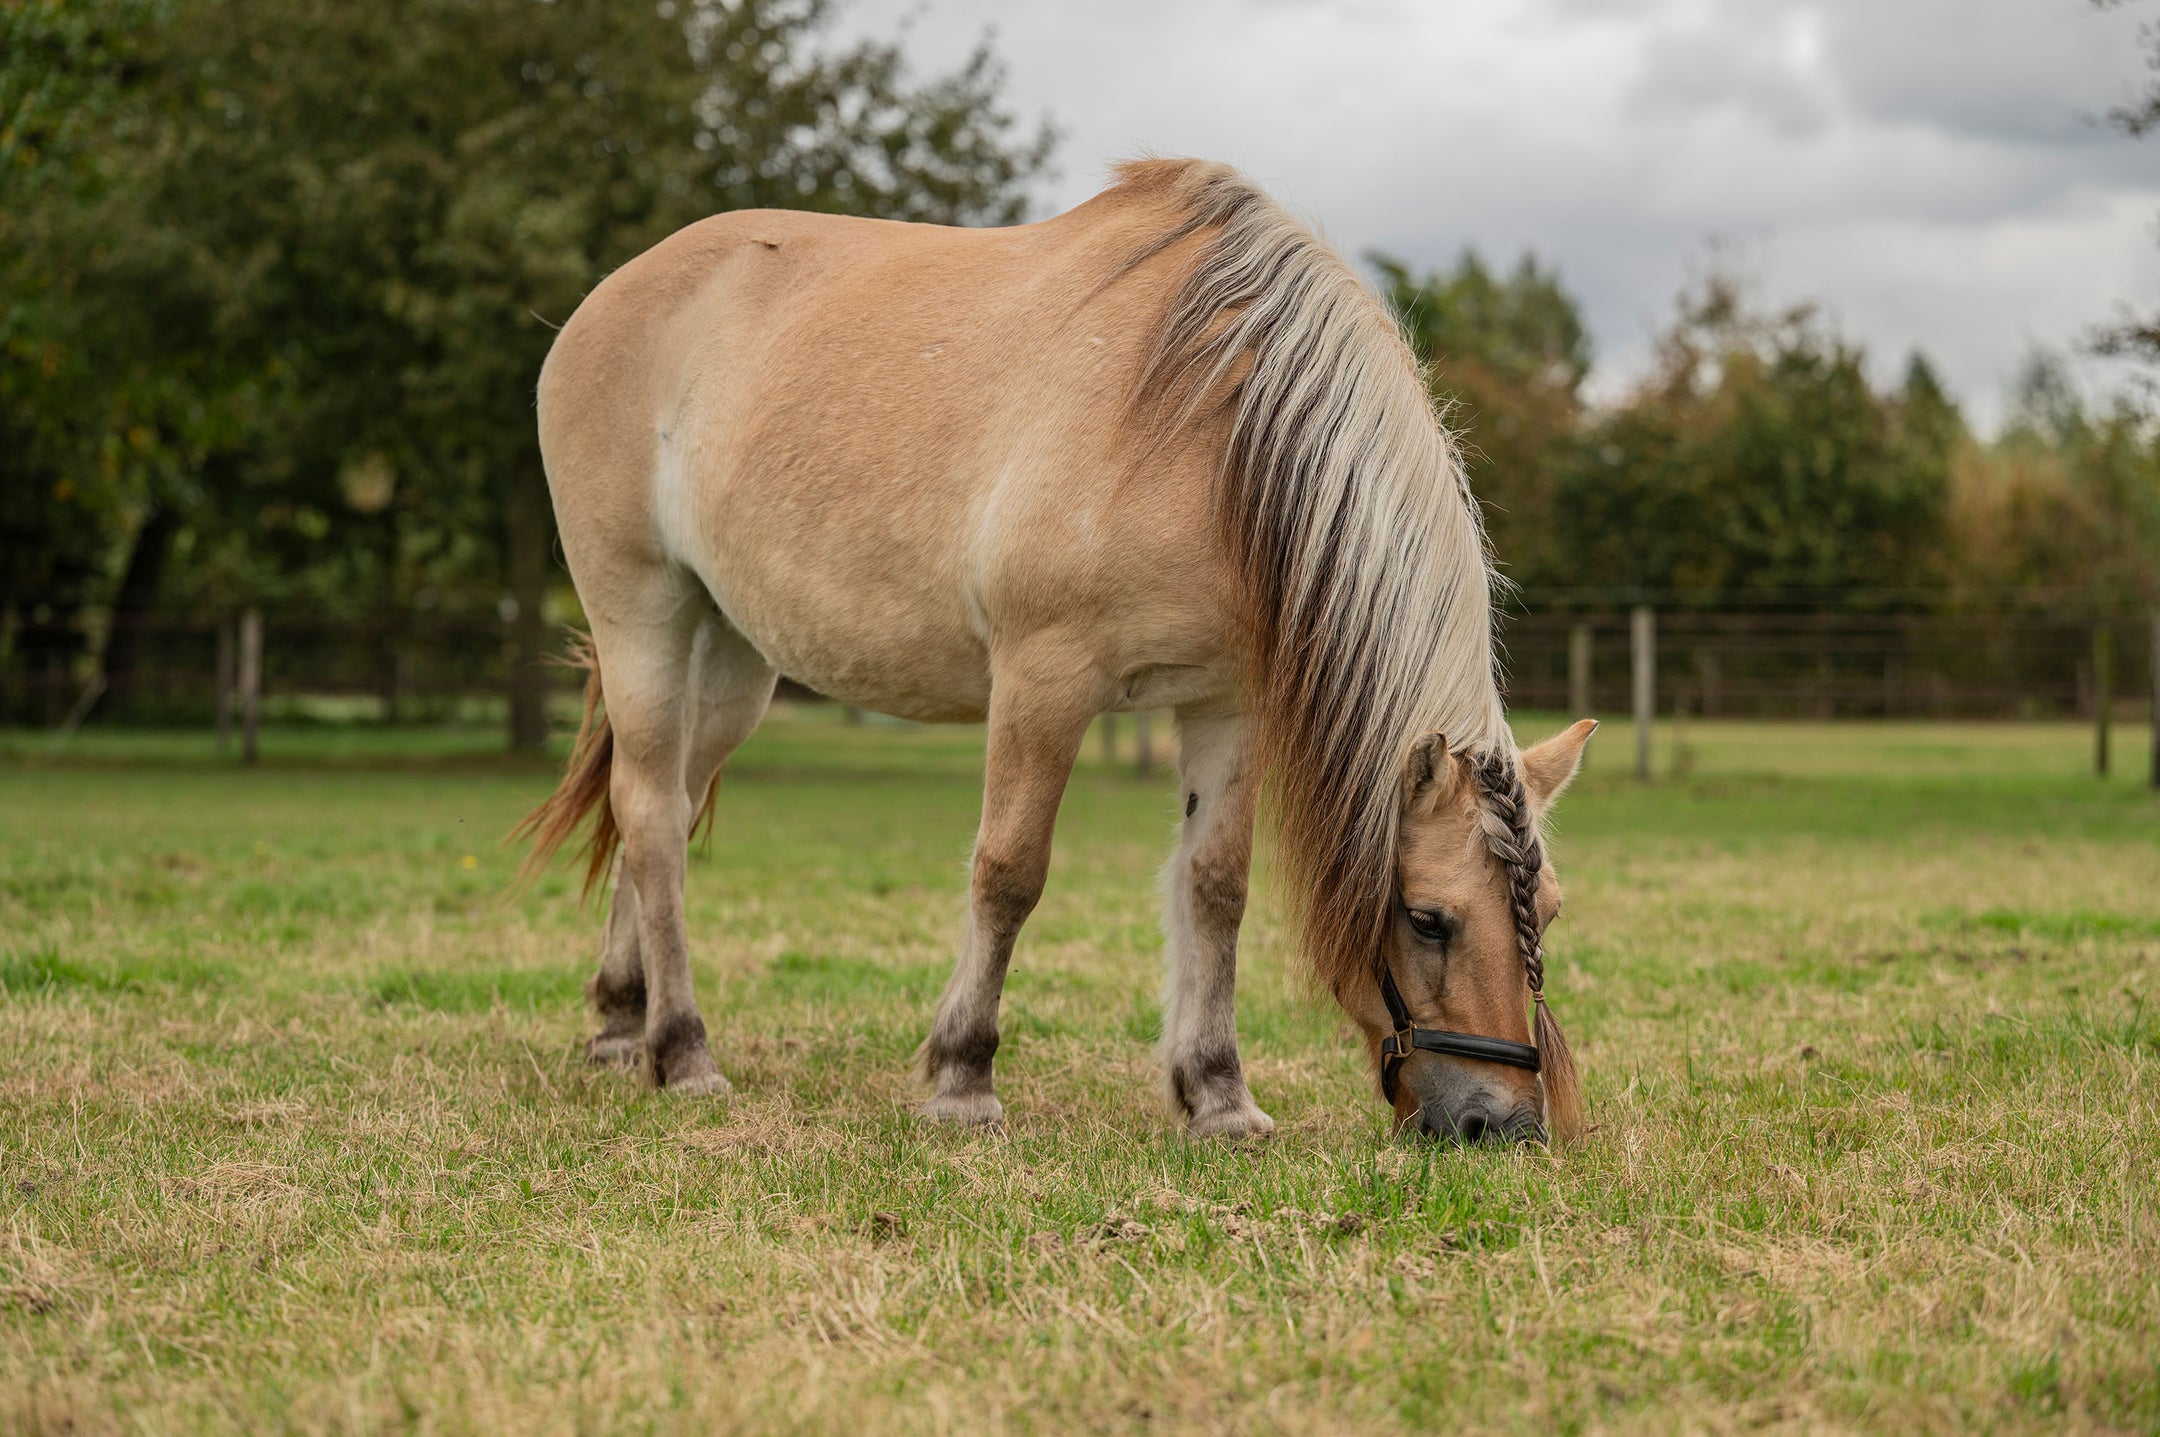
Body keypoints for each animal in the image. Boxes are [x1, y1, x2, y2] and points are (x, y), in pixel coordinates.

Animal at [514, 156, 1598, 1140]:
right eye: (1428, 918)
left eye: (1548, 906)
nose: (1502, 1124)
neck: (1214, 428)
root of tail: (611, 297)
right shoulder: (1044, 680)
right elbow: (1010, 871)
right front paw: (963, 1081)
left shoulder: (1227, 702)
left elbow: (1215, 887)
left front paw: (1218, 1096)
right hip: (643, 614)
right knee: (653, 816)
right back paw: (684, 1051)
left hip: (734, 656)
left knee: (663, 803)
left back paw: (622, 1024)